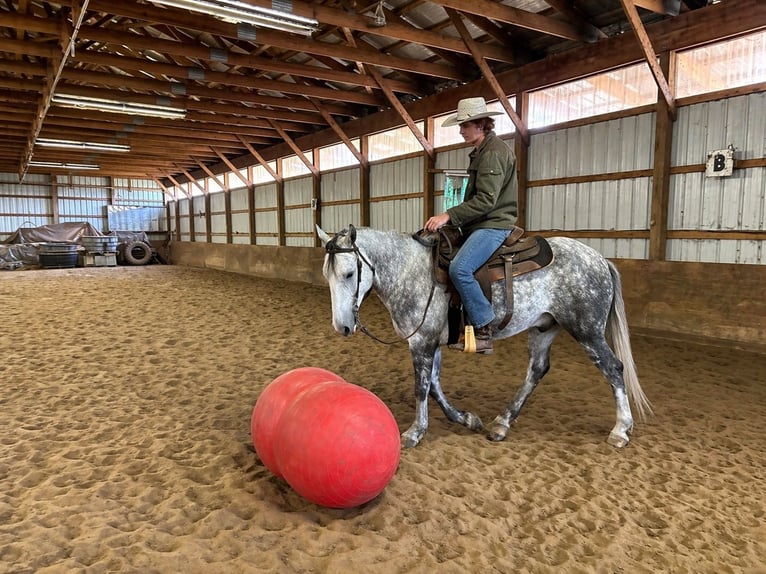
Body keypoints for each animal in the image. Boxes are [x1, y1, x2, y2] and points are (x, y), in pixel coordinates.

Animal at [316, 224, 653, 449]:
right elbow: (435, 384)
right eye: (326, 275)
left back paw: (621, 429)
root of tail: (600, 259)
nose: (342, 326)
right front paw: (465, 418)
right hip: (544, 327)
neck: (411, 272)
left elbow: (422, 387)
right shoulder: (431, 341)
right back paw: (502, 423)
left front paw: (414, 432)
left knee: (613, 368)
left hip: (587, 330)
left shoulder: (421, 342)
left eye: (349, 274)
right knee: (537, 370)